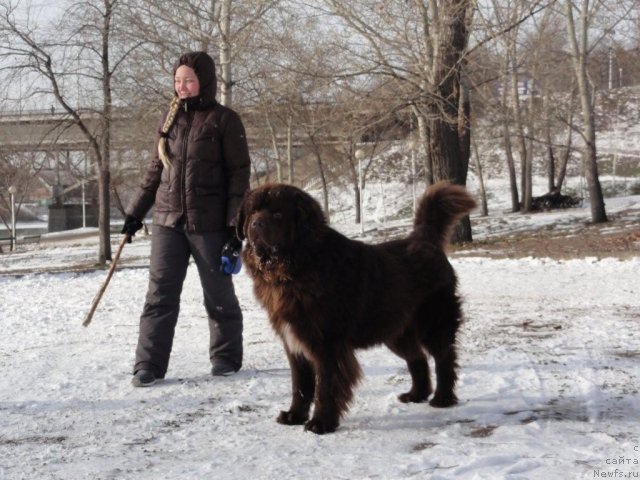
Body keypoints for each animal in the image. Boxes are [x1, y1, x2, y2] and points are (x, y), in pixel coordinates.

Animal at [238, 181, 478, 436]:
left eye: (277, 213)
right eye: (252, 212)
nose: (255, 224)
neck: (294, 270)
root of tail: (425, 240)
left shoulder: (326, 343)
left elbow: (325, 385)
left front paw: (321, 423)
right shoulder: (293, 342)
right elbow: (300, 384)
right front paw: (294, 415)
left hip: (434, 322)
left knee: (444, 357)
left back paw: (443, 398)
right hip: (395, 331)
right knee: (418, 357)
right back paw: (416, 394)